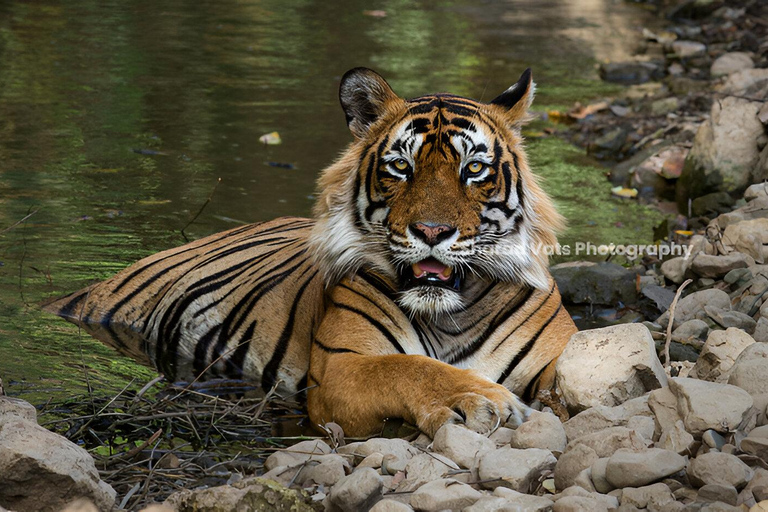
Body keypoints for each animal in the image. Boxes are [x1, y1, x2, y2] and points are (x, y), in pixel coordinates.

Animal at [45, 67, 578, 437]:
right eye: (401, 166)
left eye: (473, 169)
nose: (432, 231)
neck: (451, 315)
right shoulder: (341, 367)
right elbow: (409, 368)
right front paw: (481, 399)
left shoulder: (557, 355)